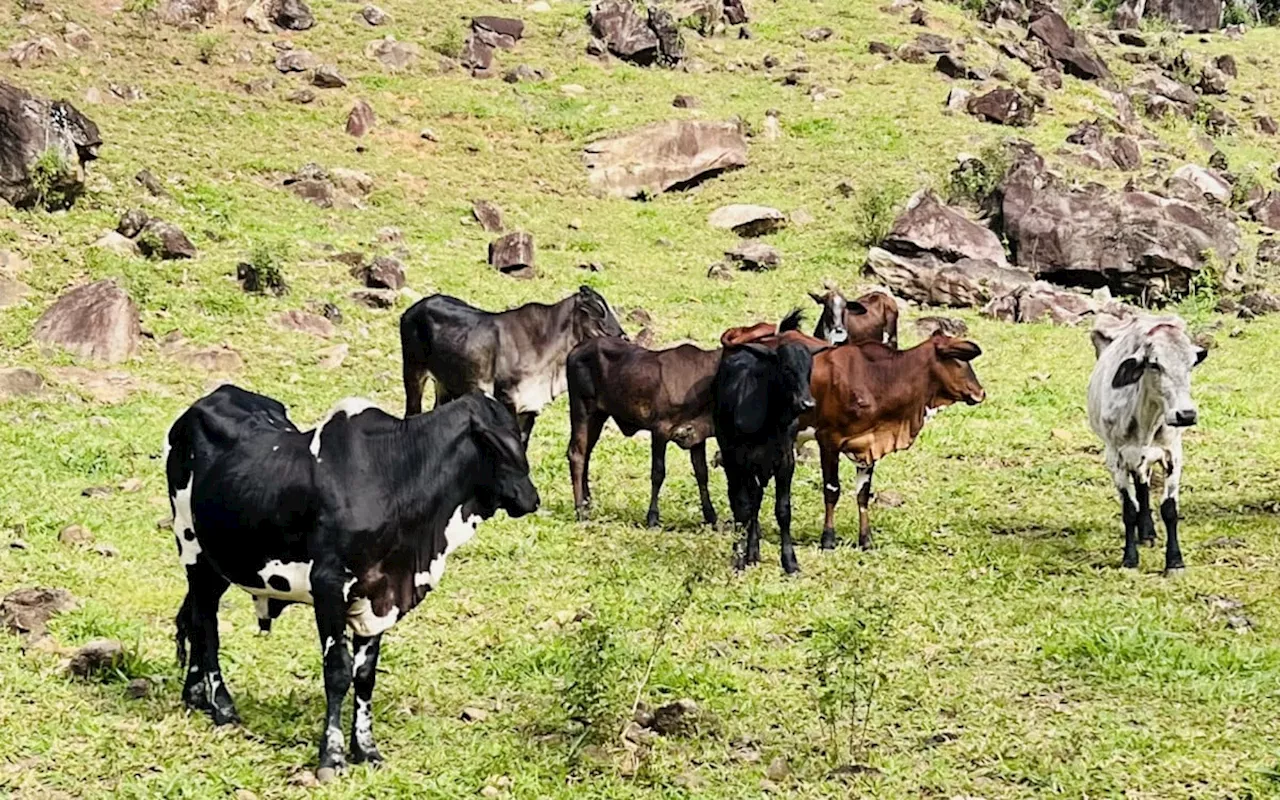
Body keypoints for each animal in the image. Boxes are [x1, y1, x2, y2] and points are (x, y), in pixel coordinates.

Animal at [163, 384, 535, 778]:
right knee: (206, 625)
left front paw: (366, 749)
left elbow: (365, 676)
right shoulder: (328, 586)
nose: (531, 498)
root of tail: (211, 398)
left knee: (195, 618)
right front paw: (332, 755)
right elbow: (338, 671)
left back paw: (196, 695)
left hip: (219, 562)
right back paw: (222, 706)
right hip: (192, 549)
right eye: (498, 444)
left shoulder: (380, 595)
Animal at [568, 335, 727, 527]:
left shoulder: (695, 435)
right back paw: (580, 510)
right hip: (582, 410)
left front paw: (711, 516)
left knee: (586, 454)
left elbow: (702, 473)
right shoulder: (660, 429)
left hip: (598, 416)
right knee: (577, 454)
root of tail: (576, 349)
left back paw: (588, 503)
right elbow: (658, 473)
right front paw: (653, 517)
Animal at [711, 308, 829, 570]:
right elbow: (743, 508)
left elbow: (782, 510)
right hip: (731, 457)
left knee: (755, 499)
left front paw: (790, 561)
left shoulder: (785, 461)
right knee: (740, 502)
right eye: (786, 368)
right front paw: (738, 558)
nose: (807, 403)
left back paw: (753, 551)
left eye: (809, 370)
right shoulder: (742, 458)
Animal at [798, 332, 988, 547]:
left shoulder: (867, 446)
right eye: (957, 359)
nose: (980, 392)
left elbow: (862, 494)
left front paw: (866, 540)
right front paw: (828, 539)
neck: (877, 377)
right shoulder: (828, 439)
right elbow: (832, 490)